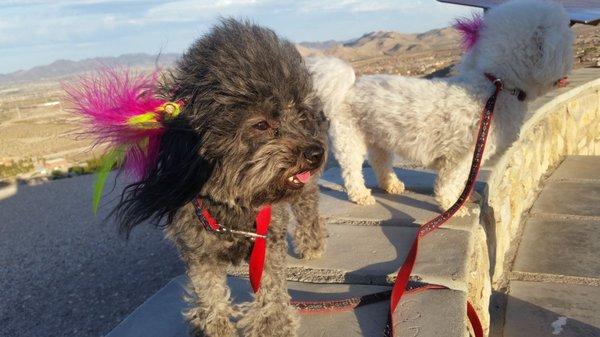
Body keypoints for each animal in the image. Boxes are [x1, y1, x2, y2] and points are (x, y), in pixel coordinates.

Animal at [115, 19, 330, 336]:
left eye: (301, 115)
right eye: (261, 124)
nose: (316, 152)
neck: (232, 206)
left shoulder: (267, 242)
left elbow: (270, 290)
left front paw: (272, 325)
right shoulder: (197, 250)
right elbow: (209, 292)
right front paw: (214, 326)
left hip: (303, 194)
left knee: (308, 209)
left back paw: (313, 244)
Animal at [308, 0, 576, 210]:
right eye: (565, 33)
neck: (495, 86)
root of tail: (349, 85)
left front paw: (466, 198)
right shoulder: (461, 155)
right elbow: (450, 182)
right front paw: (453, 205)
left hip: (378, 138)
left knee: (381, 162)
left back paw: (392, 185)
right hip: (349, 138)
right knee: (352, 170)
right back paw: (361, 195)